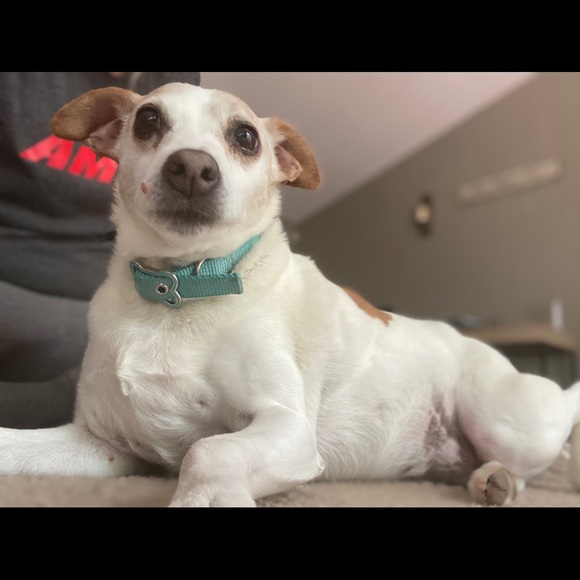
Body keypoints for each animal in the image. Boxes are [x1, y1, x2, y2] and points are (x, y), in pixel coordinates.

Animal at [1, 81, 580, 507]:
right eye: (148, 121)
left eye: (245, 137)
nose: (192, 167)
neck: (181, 288)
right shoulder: (103, 446)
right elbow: (15, 442)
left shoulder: (287, 428)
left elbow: (208, 451)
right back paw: (487, 480)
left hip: (505, 422)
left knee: (533, 462)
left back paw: (501, 478)